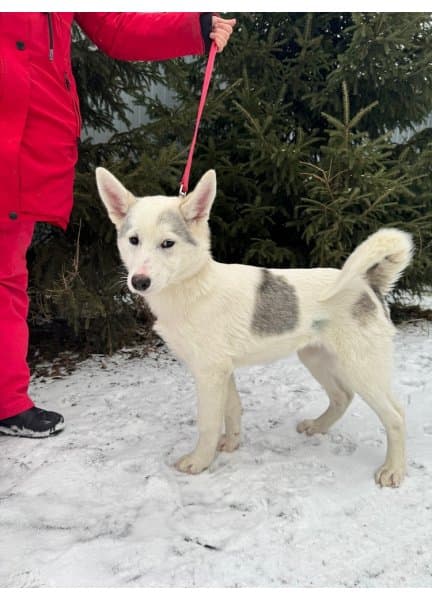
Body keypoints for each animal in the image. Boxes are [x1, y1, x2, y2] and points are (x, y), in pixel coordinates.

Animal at [95, 167, 413, 487]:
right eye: (134, 240)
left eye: (167, 244)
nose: (139, 282)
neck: (193, 288)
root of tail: (368, 283)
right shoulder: (223, 370)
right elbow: (232, 409)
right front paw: (231, 444)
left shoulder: (209, 372)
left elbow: (208, 423)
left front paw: (200, 462)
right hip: (316, 358)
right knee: (342, 397)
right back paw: (317, 427)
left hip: (360, 368)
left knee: (396, 415)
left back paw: (393, 470)